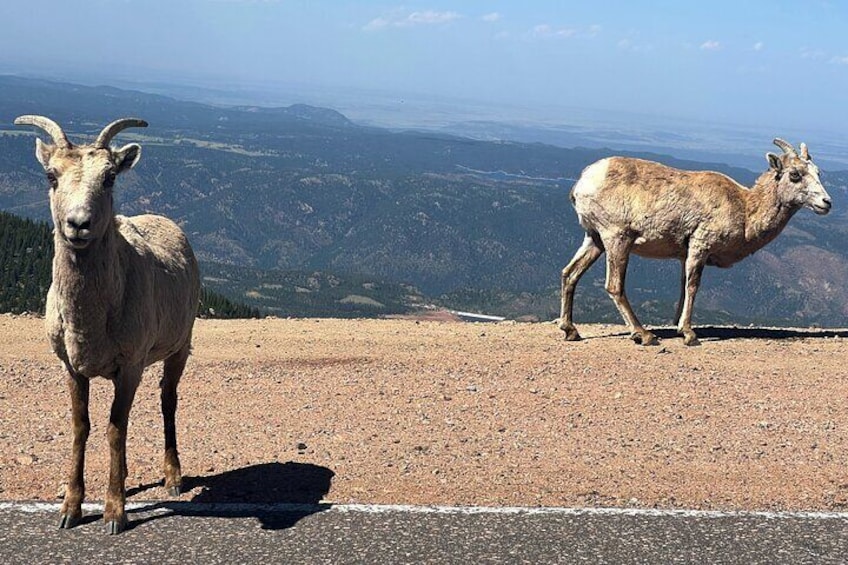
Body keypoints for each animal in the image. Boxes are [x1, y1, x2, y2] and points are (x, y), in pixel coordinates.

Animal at [15, 115, 201, 532]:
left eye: (110, 177)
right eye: (51, 175)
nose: (78, 224)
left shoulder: (129, 368)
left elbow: (117, 429)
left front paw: (115, 513)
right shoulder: (71, 368)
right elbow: (81, 426)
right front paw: (70, 510)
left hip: (180, 347)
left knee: (168, 400)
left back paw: (173, 478)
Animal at [560, 139, 832, 346]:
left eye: (818, 173)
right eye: (795, 175)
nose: (826, 203)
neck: (745, 210)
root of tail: (582, 183)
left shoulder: (685, 255)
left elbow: (683, 287)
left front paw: (678, 326)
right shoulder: (700, 246)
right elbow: (693, 287)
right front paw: (689, 334)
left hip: (594, 239)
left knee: (569, 274)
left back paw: (571, 331)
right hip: (616, 238)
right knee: (614, 285)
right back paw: (644, 335)